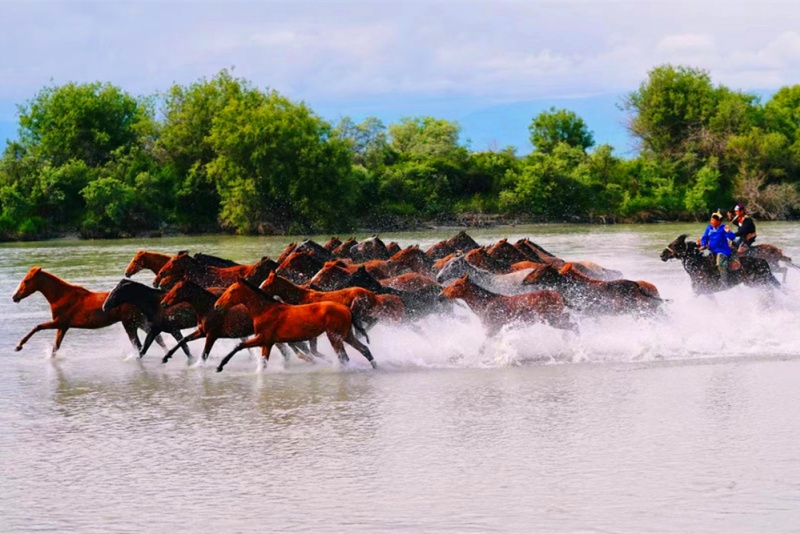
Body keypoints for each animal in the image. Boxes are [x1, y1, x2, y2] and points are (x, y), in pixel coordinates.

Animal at [12, 268, 164, 356]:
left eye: (26, 281)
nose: (15, 297)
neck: (58, 297)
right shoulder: (63, 326)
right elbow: (55, 348)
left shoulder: (60, 322)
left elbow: (37, 327)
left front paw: (19, 345)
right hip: (139, 321)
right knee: (157, 339)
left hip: (130, 323)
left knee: (140, 345)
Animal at [211, 278, 376, 374]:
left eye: (232, 291)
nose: (217, 305)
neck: (265, 310)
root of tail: (346, 309)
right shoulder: (268, 343)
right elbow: (262, 362)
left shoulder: (263, 339)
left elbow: (239, 346)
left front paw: (220, 366)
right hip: (346, 335)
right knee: (364, 349)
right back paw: (375, 366)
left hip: (334, 337)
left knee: (344, 357)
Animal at [434, 274, 580, 338]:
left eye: (456, 285)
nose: (440, 295)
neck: (483, 304)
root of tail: (559, 295)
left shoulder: (492, 328)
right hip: (554, 317)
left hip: (552, 319)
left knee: (574, 325)